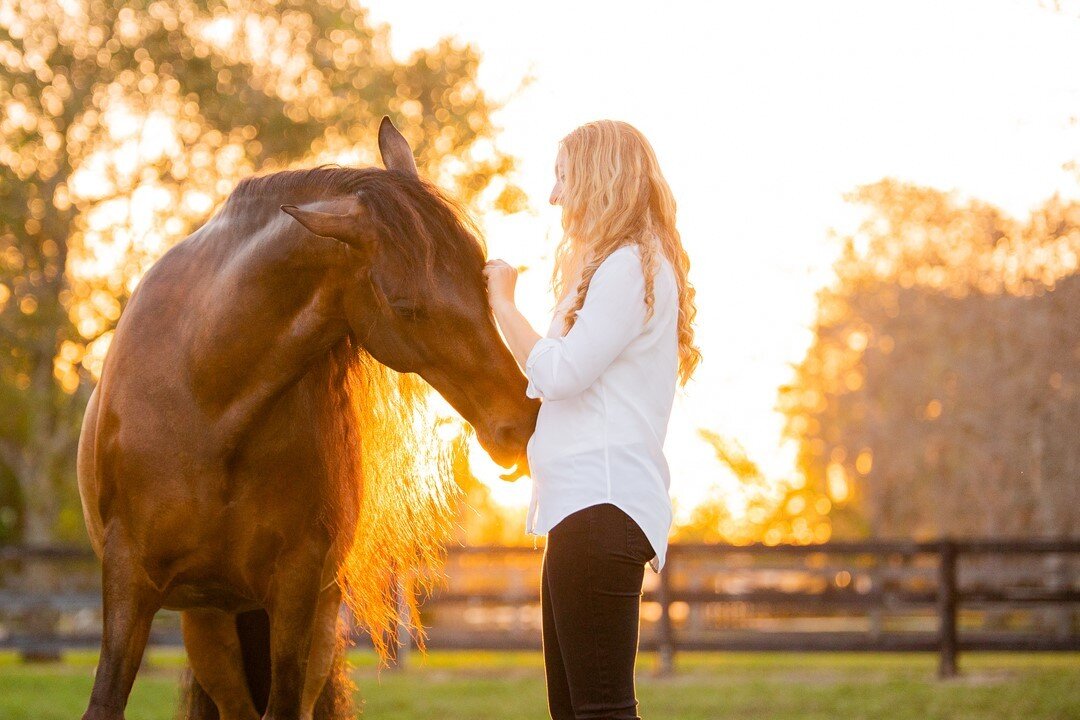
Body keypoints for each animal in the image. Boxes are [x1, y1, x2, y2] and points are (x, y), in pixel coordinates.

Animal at [76, 119, 540, 720]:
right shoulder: (128, 578)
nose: (520, 422)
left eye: (485, 286)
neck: (208, 402)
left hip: (303, 619)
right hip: (207, 621)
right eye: (406, 307)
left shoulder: (296, 586)